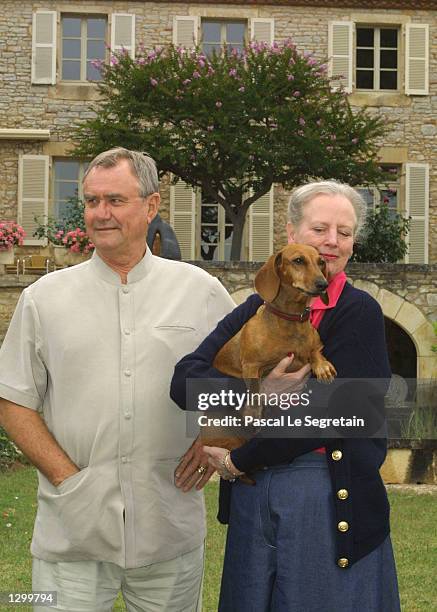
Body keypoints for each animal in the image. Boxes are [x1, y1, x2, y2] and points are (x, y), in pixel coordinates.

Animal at [199, 244, 336, 464]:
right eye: (298, 260)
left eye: (321, 262)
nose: (323, 284)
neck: (290, 320)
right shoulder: (251, 365)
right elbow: (255, 390)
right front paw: (253, 412)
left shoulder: (314, 345)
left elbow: (315, 351)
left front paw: (322, 366)